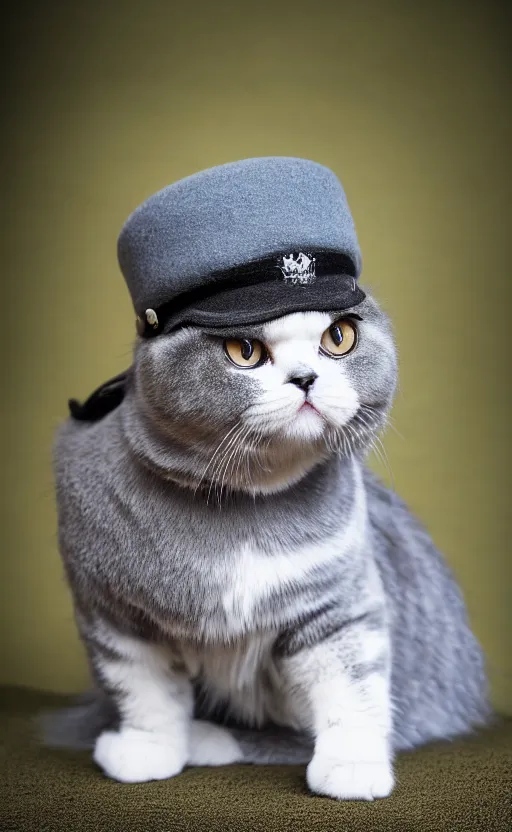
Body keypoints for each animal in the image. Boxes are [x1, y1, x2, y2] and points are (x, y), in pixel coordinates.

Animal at [42, 296, 490, 804]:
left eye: (339, 337)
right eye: (244, 350)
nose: (305, 377)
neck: (242, 509)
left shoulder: (339, 602)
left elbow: (353, 687)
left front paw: (352, 765)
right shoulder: (114, 615)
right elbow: (145, 691)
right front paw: (147, 749)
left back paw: (209, 738)